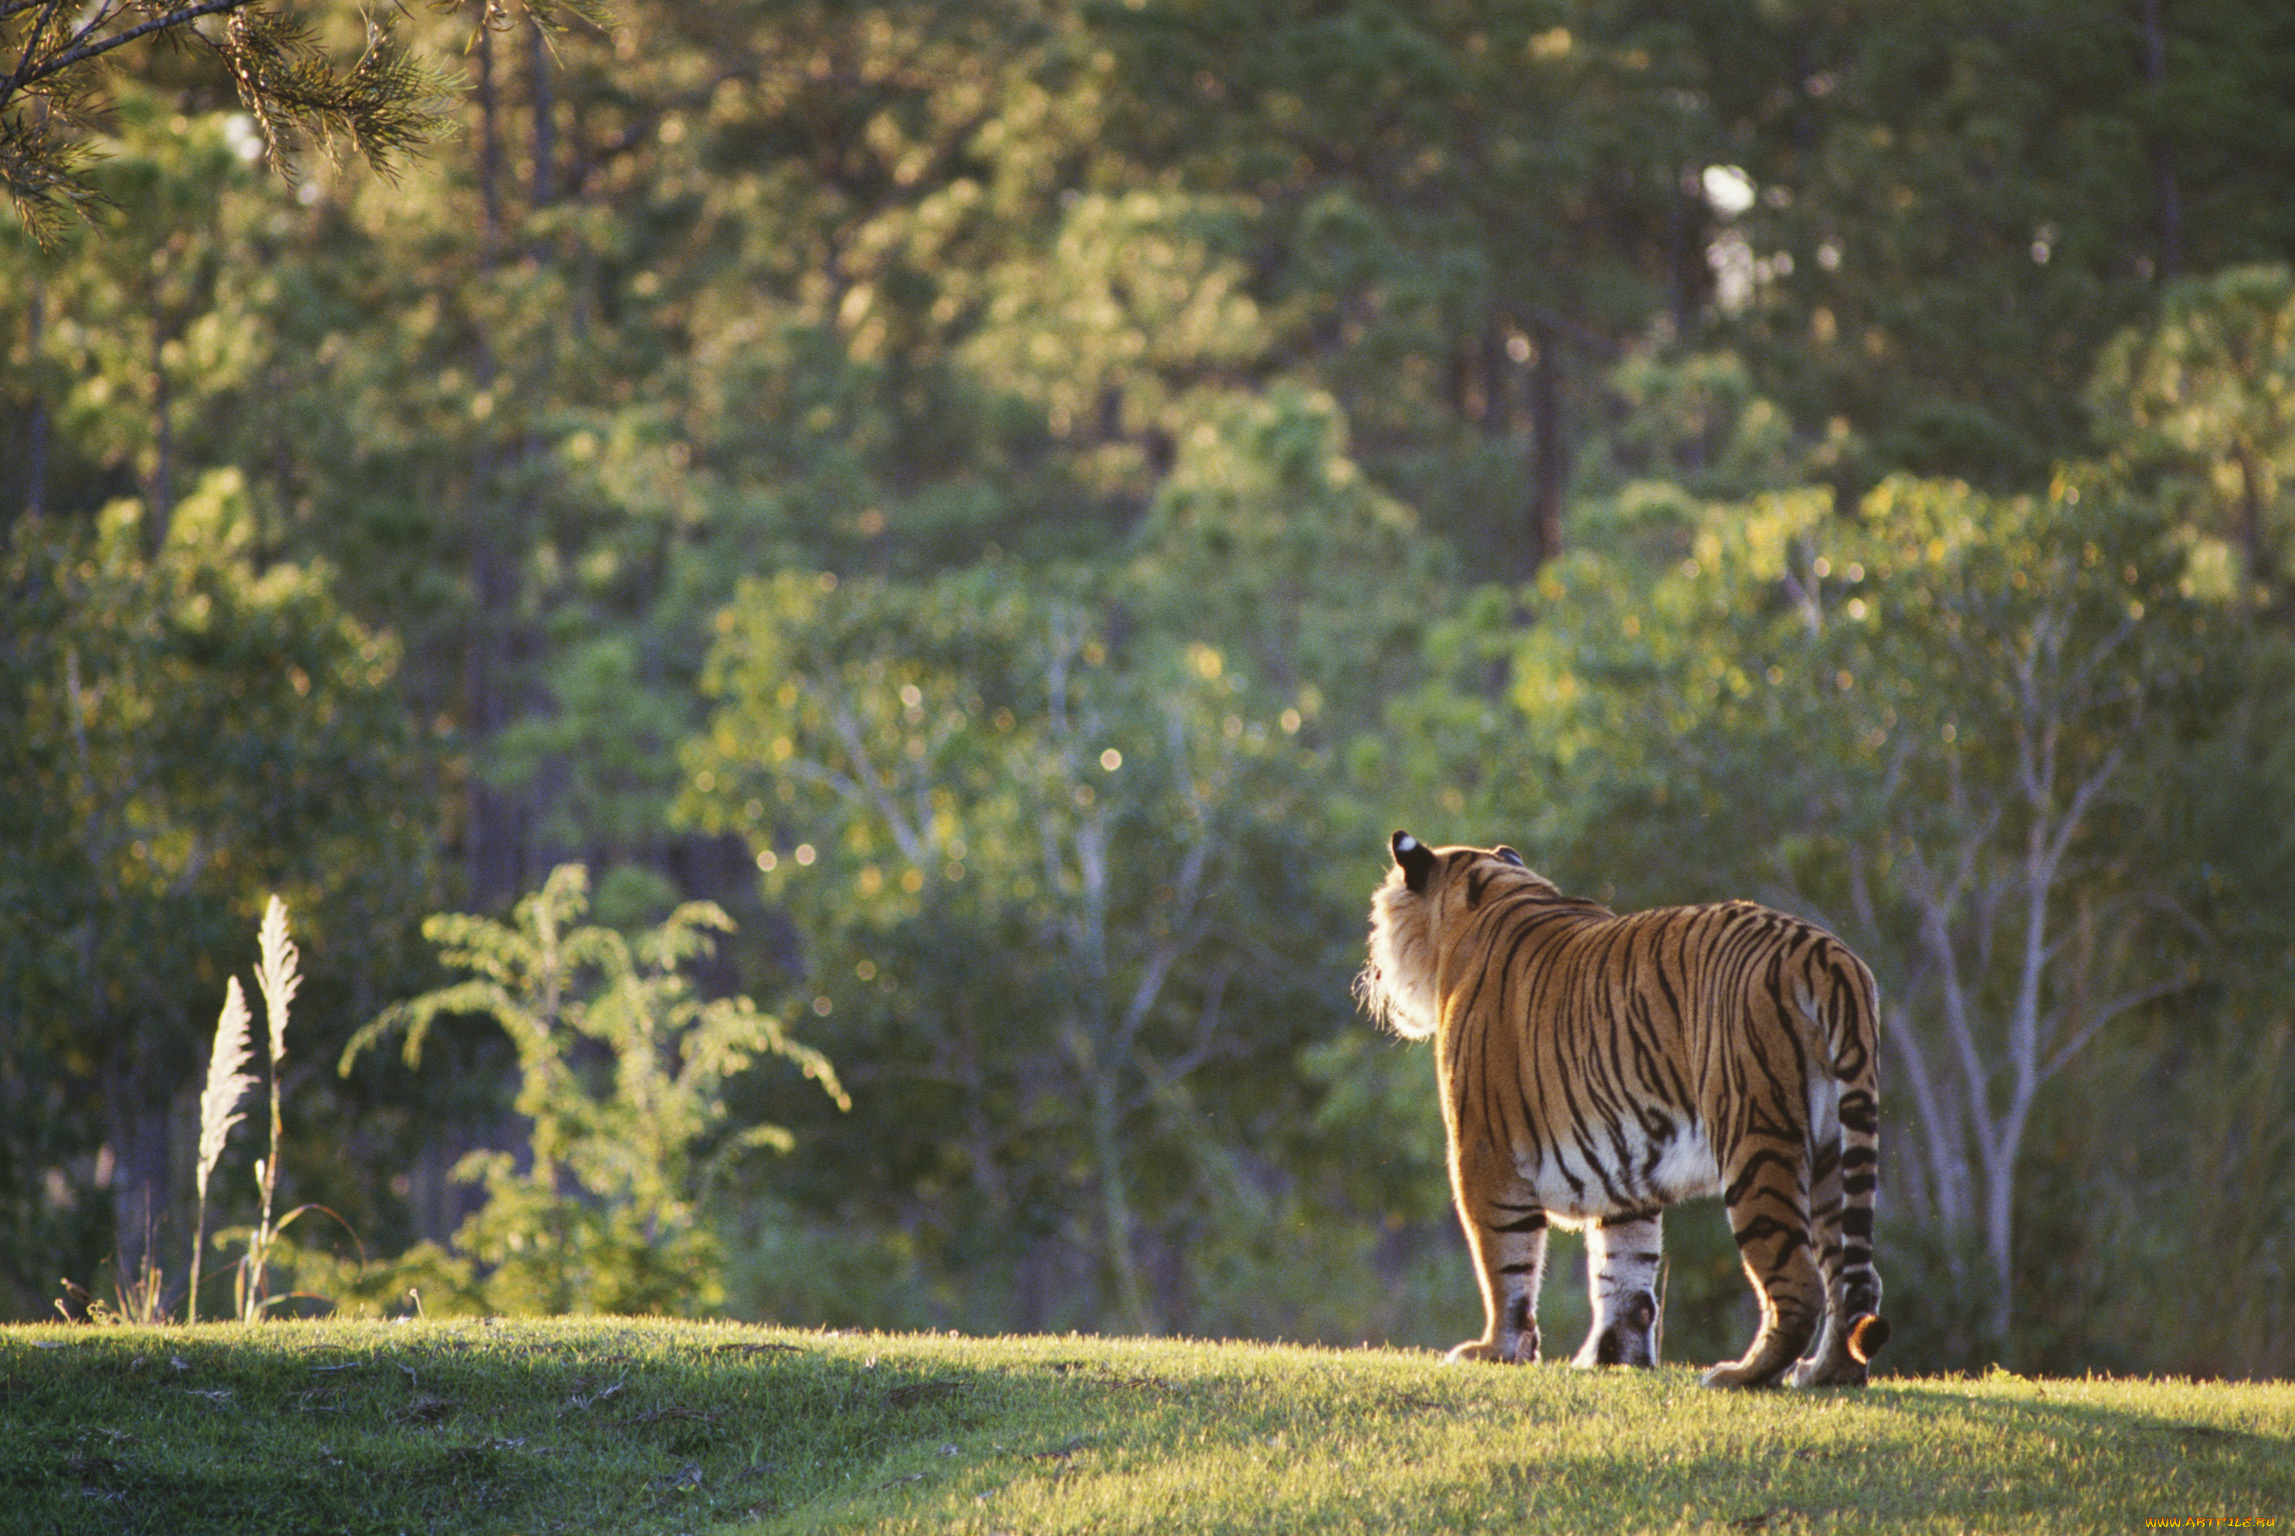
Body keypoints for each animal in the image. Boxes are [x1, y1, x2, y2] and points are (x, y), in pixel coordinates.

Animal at [1349, 831, 1891, 1386]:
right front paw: (1616, 1358)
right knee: (1855, 1277)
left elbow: (1505, 1261)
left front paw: (1497, 1350)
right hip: (1830, 1151)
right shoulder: (1624, 1152)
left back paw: (1741, 1375)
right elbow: (1626, 1269)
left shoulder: (1483, 1152)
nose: (1372, 972)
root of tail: (1828, 954)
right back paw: (1828, 1373)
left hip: (1754, 1138)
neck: (1487, 895)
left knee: (1799, 1278)